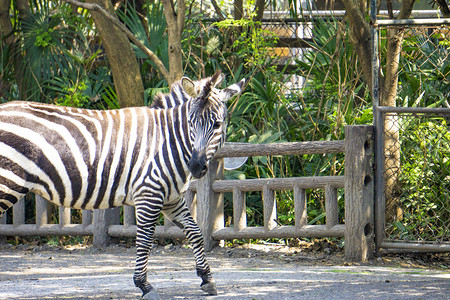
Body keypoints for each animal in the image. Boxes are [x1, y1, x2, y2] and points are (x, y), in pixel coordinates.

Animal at [0, 71, 246, 298]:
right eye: (190, 123)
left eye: (217, 124)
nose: (196, 167)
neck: (169, 142)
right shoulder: (149, 194)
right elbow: (145, 239)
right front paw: (144, 285)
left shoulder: (171, 198)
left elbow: (195, 231)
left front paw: (206, 278)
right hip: (8, 181)